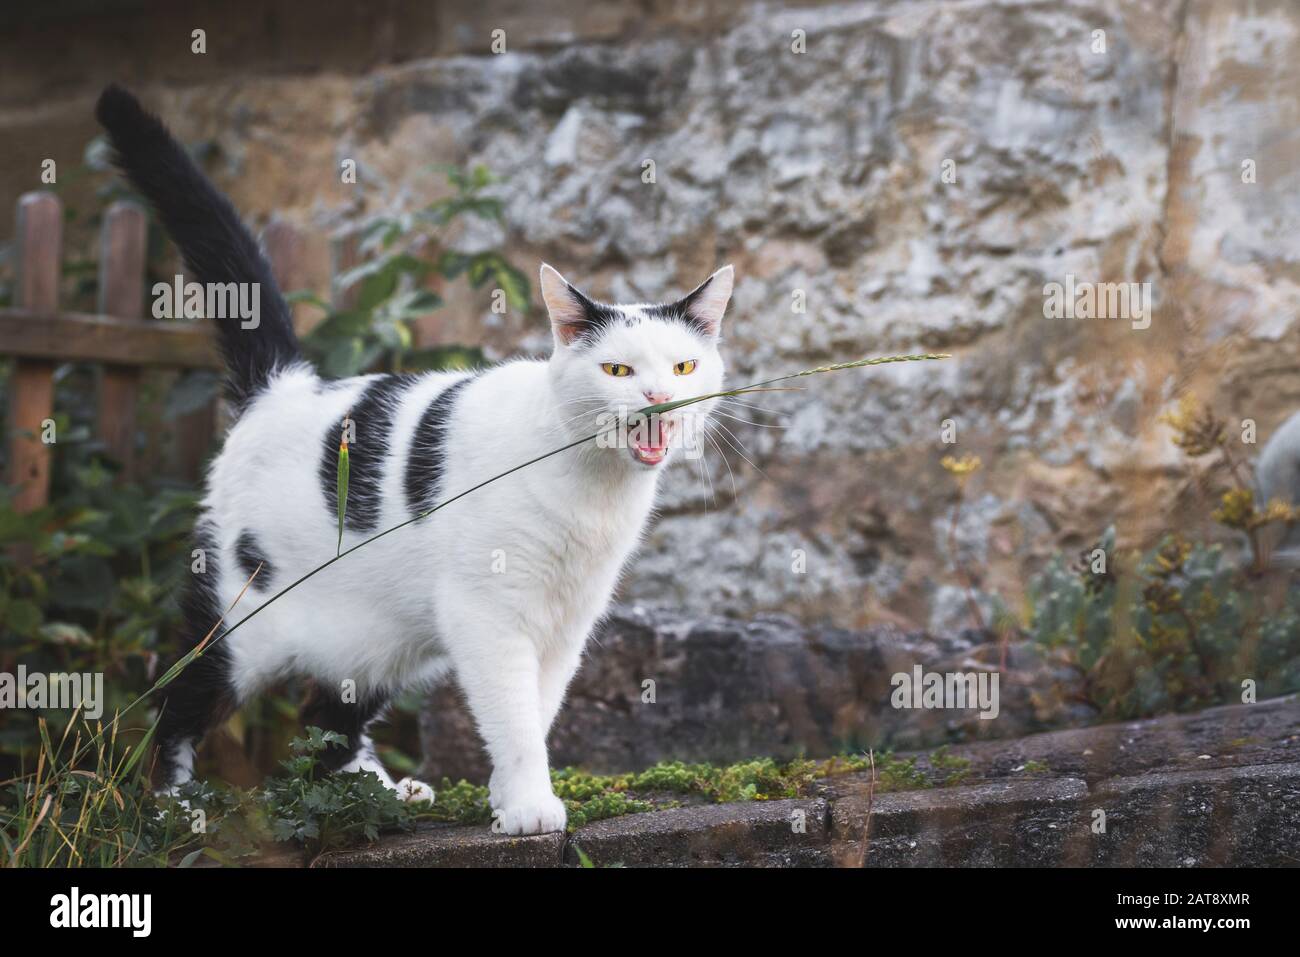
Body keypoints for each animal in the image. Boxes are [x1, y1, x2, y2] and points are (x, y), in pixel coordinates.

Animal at [98, 85, 733, 832]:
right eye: (617, 369)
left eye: (685, 365)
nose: (660, 396)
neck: (595, 490)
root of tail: (281, 387)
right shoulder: (486, 614)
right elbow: (513, 715)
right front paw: (528, 809)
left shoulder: (565, 625)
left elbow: (538, 711)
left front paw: (509, 796)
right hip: (241, 618)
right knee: (179, 698)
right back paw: (172, 804)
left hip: (376, 633)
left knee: (327, 720)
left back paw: (373, 792)